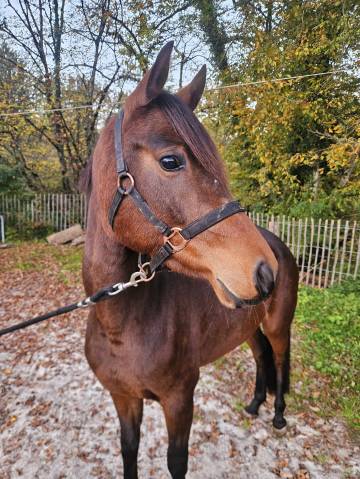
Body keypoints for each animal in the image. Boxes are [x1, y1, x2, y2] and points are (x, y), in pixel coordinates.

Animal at [81, 42, 298, 479]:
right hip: (248, 326)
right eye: (171, 161)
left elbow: (176, 462)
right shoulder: (123, 398)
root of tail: (280, 247)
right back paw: (255, 404)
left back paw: (279, 414)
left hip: (278, 324)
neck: (121, 324)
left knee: (281, 358)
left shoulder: (180, 399)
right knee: (261, 355)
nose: (265, 271)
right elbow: (128, 451)